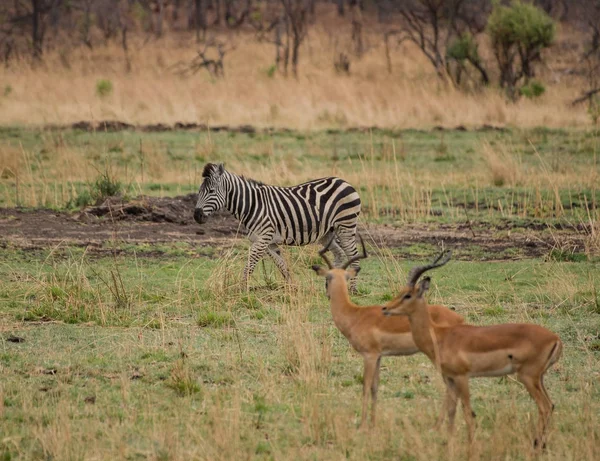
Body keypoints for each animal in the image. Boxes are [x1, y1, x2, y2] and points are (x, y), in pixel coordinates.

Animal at [196, 164, 360, 290]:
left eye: (211, 191)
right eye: (198, 191)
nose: (196, 215)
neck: (252, 205)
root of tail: (344, 181)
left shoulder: (264, 238)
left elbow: (249, 264)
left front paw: (241, 289)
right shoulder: (268, 242)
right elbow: (282, 265)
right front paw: (292, 288)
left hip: (346, 226)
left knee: (353, 255)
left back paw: (352, 289)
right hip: (327, 233)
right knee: (340, 254)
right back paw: (330, 285)